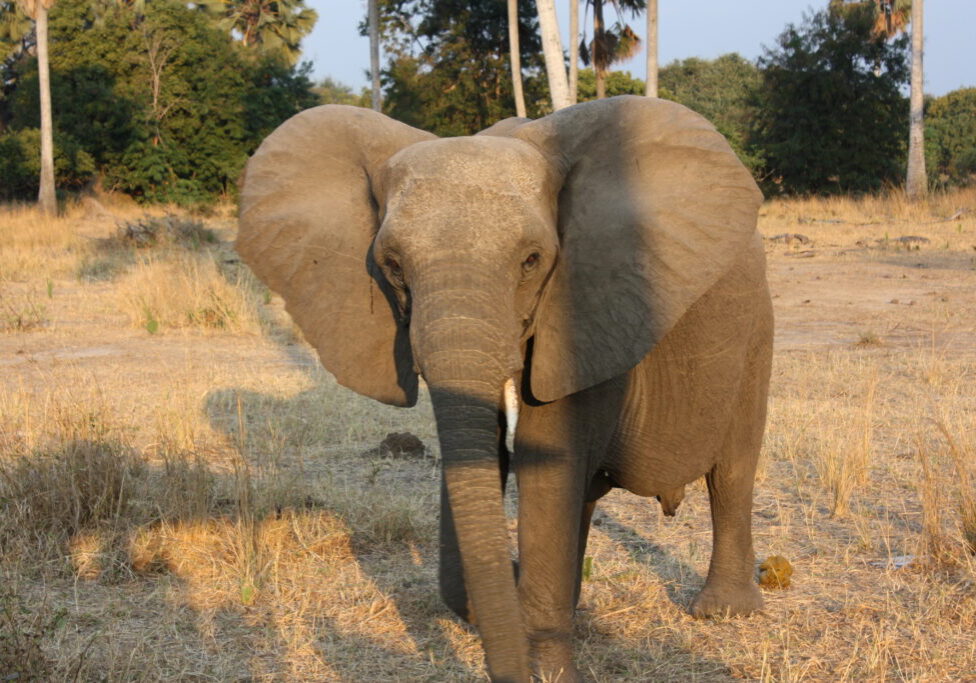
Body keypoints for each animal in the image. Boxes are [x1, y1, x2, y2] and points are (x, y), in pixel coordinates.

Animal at [237, 95, 772, 682]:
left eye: (531, 261)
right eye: (392, 266)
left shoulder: (587, 303)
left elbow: (548, 456)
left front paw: (550, 668)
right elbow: (502, 453)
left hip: (756, 332)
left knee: (732, 470)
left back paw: (723, 613)